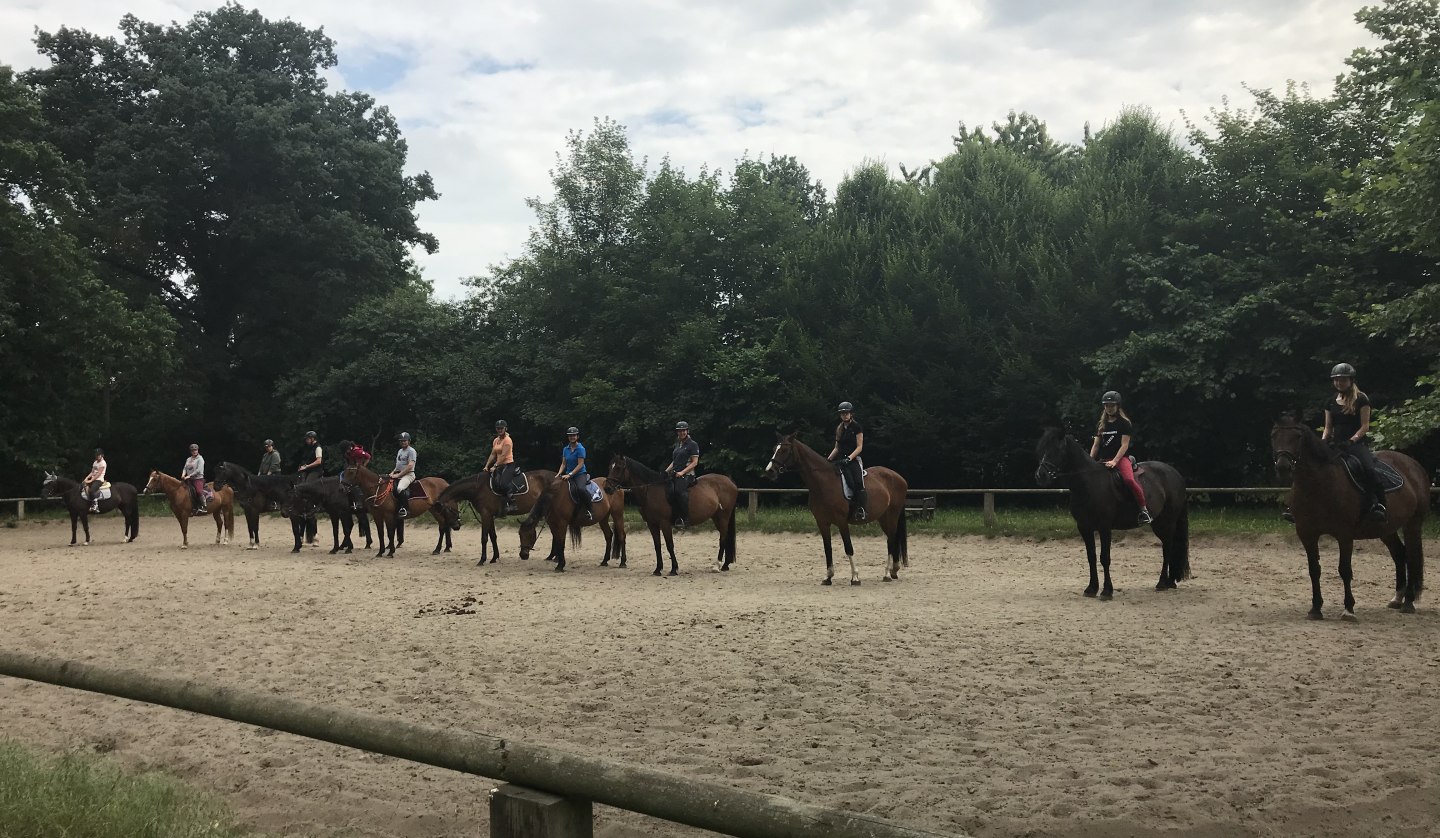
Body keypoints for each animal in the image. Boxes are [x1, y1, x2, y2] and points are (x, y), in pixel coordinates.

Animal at [607, 460, 743, 578]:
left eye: (618, 467)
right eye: (611, 467)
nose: (608, 488)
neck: (651, 490)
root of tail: (729, 481)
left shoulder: (665, 523)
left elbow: (669, 545)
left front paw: (674, 569)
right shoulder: (652, 524)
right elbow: (657, 546)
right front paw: (658, 569)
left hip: (723, 516)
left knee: (723, 538)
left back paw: (717, 565)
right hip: (716, 517)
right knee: (725, 537)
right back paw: (725, 565)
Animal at [760, 437, 904, 587]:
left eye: (784, 450)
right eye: (774, 449)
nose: (769, 471)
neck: (823, 483)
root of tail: (898, 476)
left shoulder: (842, 522)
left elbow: (848, 547)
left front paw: (855, 578)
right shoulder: (822, 522)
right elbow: (827, 548)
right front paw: (828, 577)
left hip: (891, 515)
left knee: (891, 540)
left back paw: (887, 574)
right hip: (883, 518)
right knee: (892, 539)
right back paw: (894, 571)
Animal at [1036, 429, 1192, 601]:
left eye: (1057, 449)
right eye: (1042, 449)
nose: (1041, 475)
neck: (1089, 483)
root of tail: (1175, 474)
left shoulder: (1104, 527)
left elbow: (1105, 558)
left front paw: (1106, 591)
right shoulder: (1084, 527)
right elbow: (1091, 557)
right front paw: (1091, 588)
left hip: (1166, 521)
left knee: (1167, 547)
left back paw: (1162, 583)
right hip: (1159, 522)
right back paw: (1170, 582)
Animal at [1272, 414, 1428, 622]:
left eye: (1297, 436)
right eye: (1274, 436)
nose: (1283, 467)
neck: (1318, 484)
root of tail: (1413, 465)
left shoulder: (1344, 534)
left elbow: (1344, 570)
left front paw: (1348, 609)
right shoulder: (1307, 534)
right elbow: (1314, 570)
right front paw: (1315, 608)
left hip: (1413, 524)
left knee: (1411, 555)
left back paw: (1408, 602)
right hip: (1385, 529)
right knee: (1399, 553)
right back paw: (1397, 598)